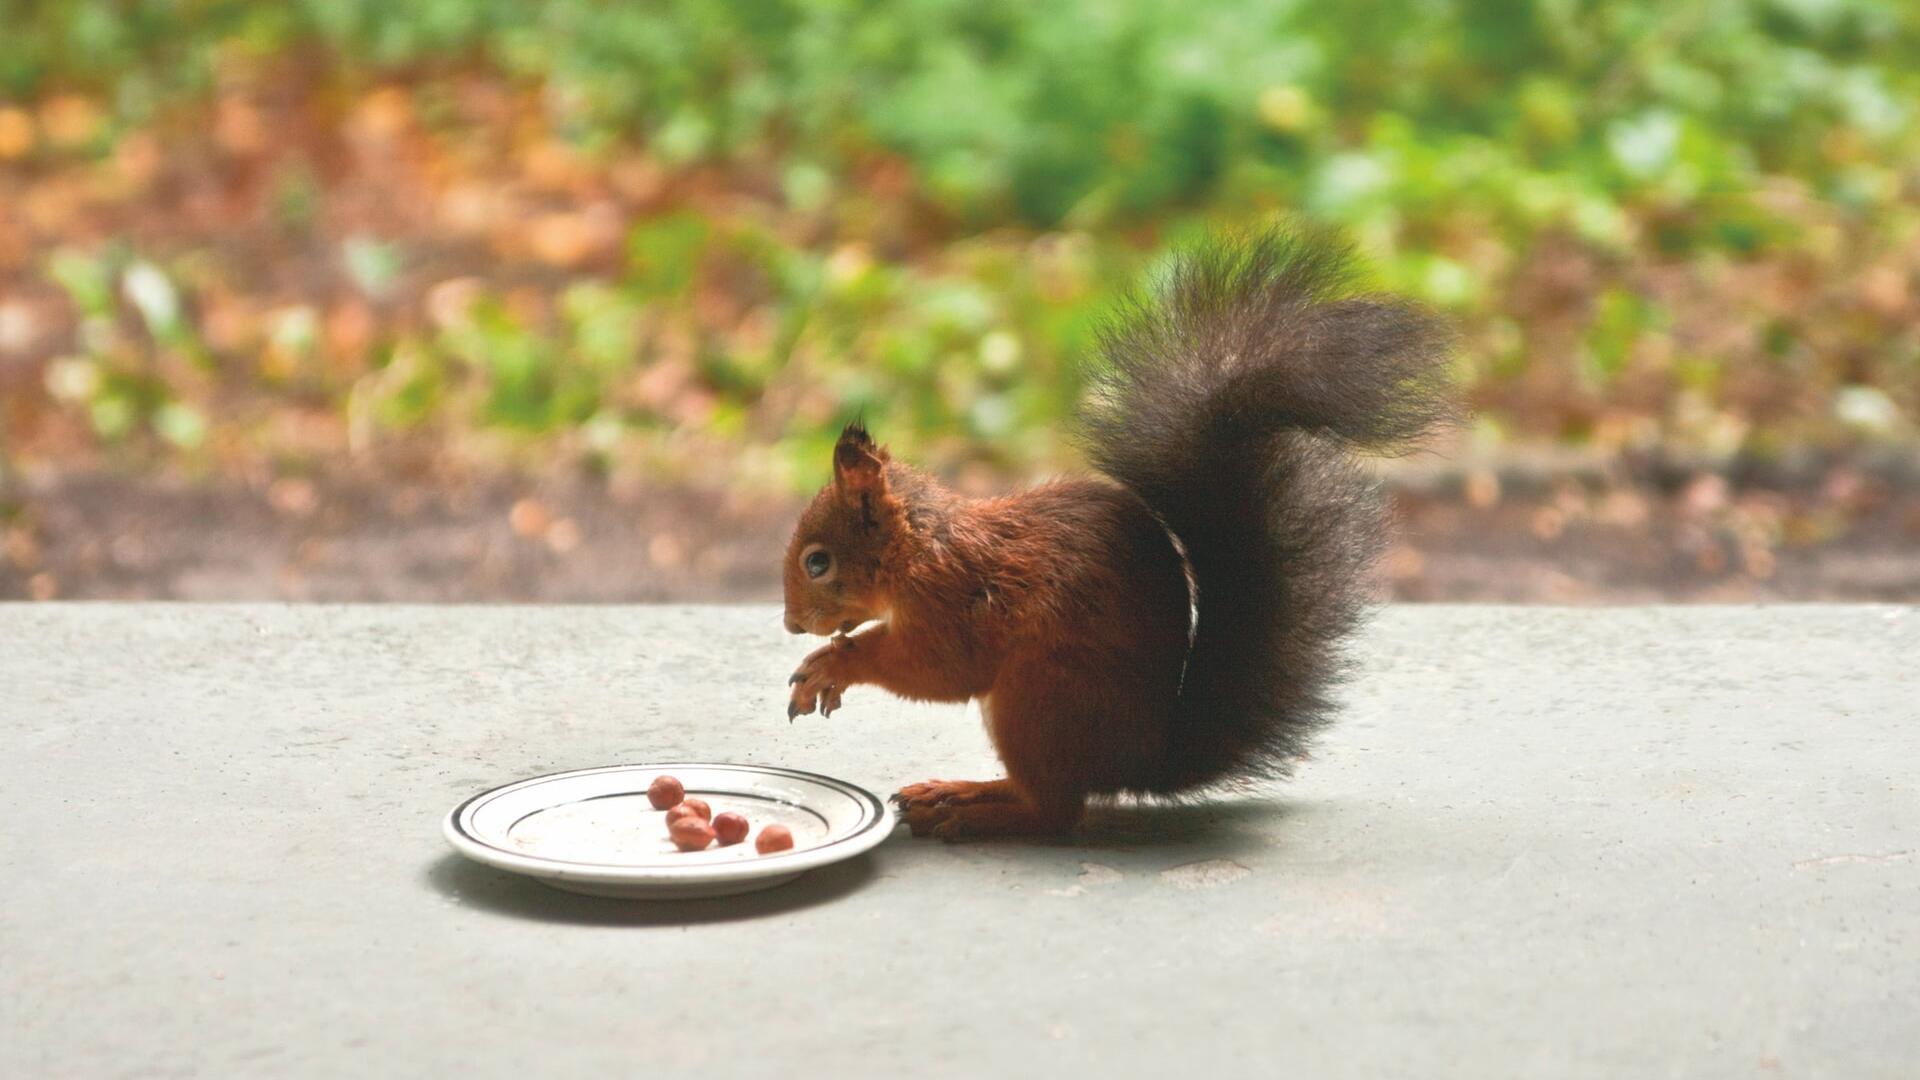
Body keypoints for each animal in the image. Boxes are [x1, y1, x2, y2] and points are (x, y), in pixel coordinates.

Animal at [781, 228, 1455, 840]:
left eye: (818, 562)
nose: (790, 623)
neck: (917, 546)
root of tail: (1144, 760)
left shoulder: (953, 598)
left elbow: (940, 667)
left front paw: (834, 662)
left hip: (1040, 693)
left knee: (1056, 811)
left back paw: (969, 807)